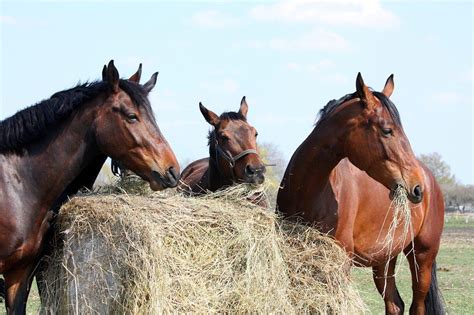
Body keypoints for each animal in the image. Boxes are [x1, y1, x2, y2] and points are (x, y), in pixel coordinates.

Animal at [278, 74, 444, 315]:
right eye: (387, 130)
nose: (417, 187)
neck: (308, 191)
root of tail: (430, 178)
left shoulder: (339, 266)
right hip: (384, 259)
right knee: (395, 304)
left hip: (422, 257)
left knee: (417, 306)